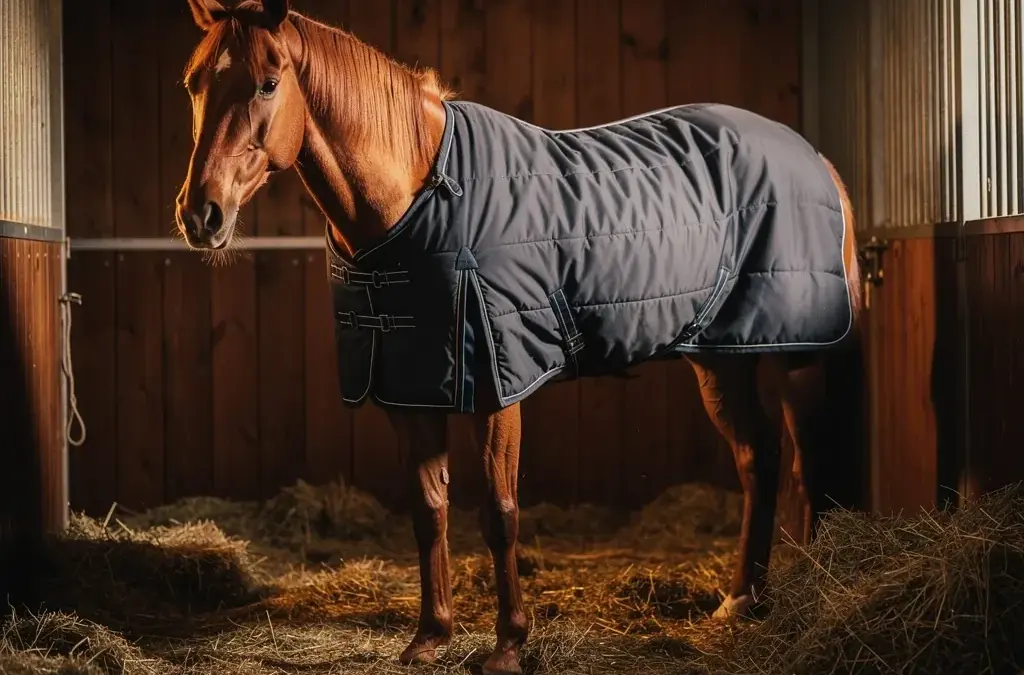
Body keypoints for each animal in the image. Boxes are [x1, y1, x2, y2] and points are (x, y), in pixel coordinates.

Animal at [174, 1, 864, 673]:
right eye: (194, 83)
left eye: (268, 83)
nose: (200, 214)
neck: (418, 193)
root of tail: (816, 159)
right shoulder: (411, 388)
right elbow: (429, 510)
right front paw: (430, 636)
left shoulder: (496, 388)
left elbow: (499, 513)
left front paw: (508, 644)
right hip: (724, 358)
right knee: (758, 459)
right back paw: (742, 599)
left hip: (796, 356)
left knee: (807, 461)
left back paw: (799, 588)